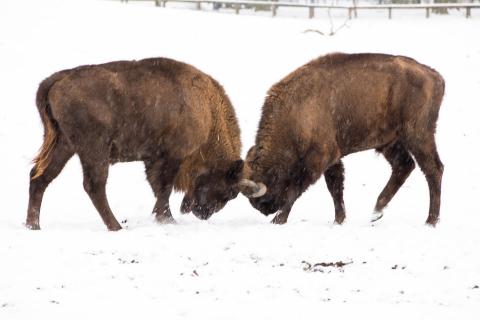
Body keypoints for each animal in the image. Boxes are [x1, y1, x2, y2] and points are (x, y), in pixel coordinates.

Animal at [25, 57, 248, 230]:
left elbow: (159, 189)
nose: (203, 214)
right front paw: (167, 220)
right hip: (95, 149)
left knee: (40, 177)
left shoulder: (154, 159)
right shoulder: (172, 157)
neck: (208, 111)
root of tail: (58, 79)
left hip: (65, 144)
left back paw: (33, 225)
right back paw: (116, 227)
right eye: (230, 192)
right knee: (94, 185)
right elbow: (164, 188)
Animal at [242, 53, 444, 225]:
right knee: (404, 166)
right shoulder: (332, 158)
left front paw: (278, 219)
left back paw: (430, 221)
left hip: (418, 136)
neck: (294, 113)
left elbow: (297, 188)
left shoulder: (320, 157)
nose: (263, 209)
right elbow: (335, 187)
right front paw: (339, 220)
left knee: (433, 169)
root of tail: (436, 77)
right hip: (390, 142)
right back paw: (376, 211)